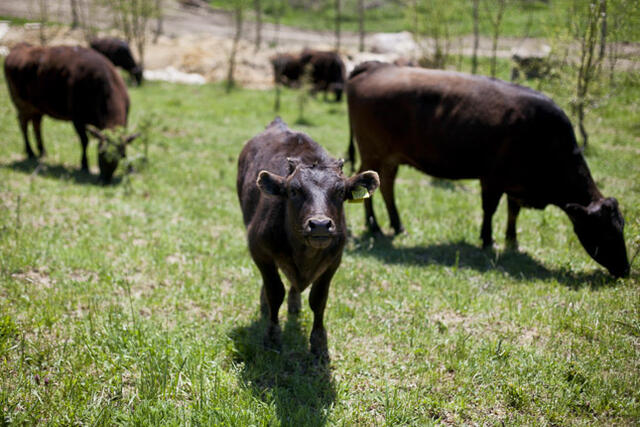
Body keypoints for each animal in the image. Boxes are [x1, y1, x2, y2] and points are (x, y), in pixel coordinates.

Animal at [3, 44, 139, 183]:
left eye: (119, 155)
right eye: (100, 153)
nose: (104, 179)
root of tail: (19, 47)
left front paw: (131, 168)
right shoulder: (77, 120)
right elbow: (84, 141)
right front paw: (84, 164)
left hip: (37, 107)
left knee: (36, 125)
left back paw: (42, 151)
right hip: (21, 104)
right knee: (23, 125)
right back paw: (30, 151)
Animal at [236, 117, 378, 358]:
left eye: (341, 192)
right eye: (294, 191)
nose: (320, 225)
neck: (305, 254)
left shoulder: (334, 260)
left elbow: (319, 299)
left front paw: (319, 344)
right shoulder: (259, 250)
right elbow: (275, 291)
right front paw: (272, 337)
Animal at [344, 61, 632, 280]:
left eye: (622, 226)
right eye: (605, 231)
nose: (626, 270)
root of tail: (375, 66)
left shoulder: (516, 184)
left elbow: (513, 211)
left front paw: (512, 241)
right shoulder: (492, 178)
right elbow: (490, 209)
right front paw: (487, 240)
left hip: (391, 157)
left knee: (387, 186)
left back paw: (397, 225)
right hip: (373, 153)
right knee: (368, 184)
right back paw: (375, 226)